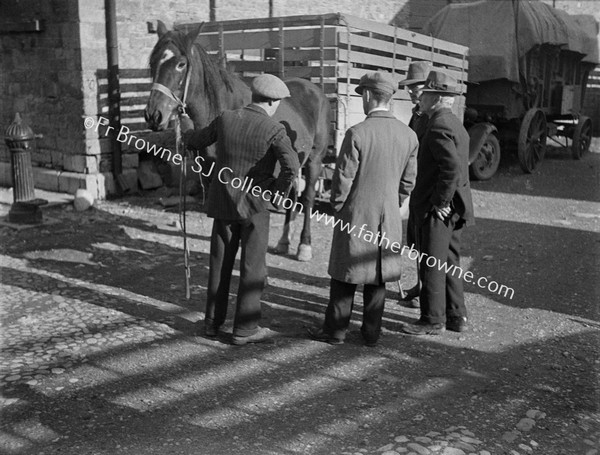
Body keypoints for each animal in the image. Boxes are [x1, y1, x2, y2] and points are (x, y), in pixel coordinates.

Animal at [145, 21, 332, 262]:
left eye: (181, 64)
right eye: (153, 62)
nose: (153, 115)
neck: (224, 107)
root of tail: (314, 89)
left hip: (315, 160)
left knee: (307, 199)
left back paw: (304, 246)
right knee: (292, 195)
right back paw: (283, 242)